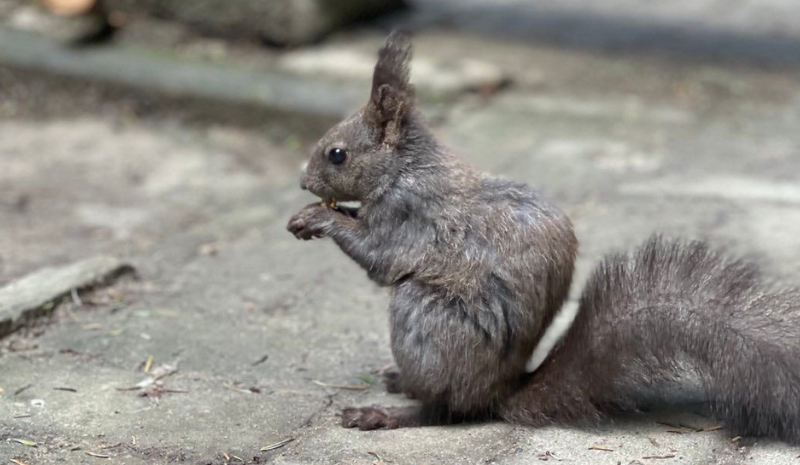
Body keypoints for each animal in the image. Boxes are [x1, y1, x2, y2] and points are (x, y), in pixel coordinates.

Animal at [286, 30, 800, 440]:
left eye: (337, 154)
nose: (303, 182)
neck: (405, 168)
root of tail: (495, 393)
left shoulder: (410, 217)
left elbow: (379, 255)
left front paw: (319, 219)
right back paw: (398, 384)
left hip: (427, 320)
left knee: (443, 411)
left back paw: (385, 413)